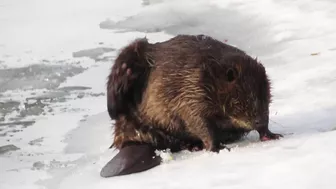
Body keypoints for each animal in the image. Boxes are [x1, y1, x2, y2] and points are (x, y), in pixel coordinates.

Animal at [100, 34, 284, 178]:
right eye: (244, 99)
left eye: (267, 97)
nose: (260, 121)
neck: (213, 75)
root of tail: (134, 139)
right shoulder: (192, 89)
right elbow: (198, 121)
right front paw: (217, 147)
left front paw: (271, 134)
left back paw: (193, 145)